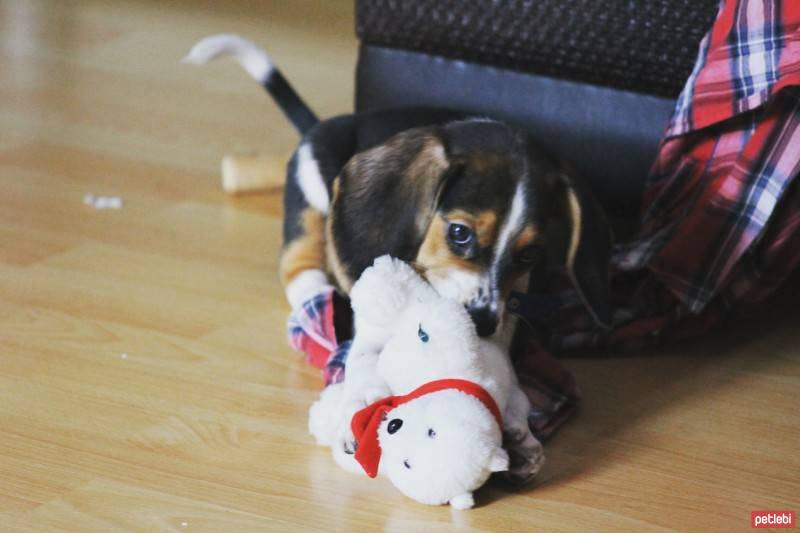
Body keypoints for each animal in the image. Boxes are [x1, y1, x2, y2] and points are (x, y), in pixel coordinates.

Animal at [188, 34, 612, 336]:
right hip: (311, 186)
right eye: (459, 233)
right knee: (299, 268)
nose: (484, 324)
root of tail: (319, 126)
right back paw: (318, 307)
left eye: (530, 255)